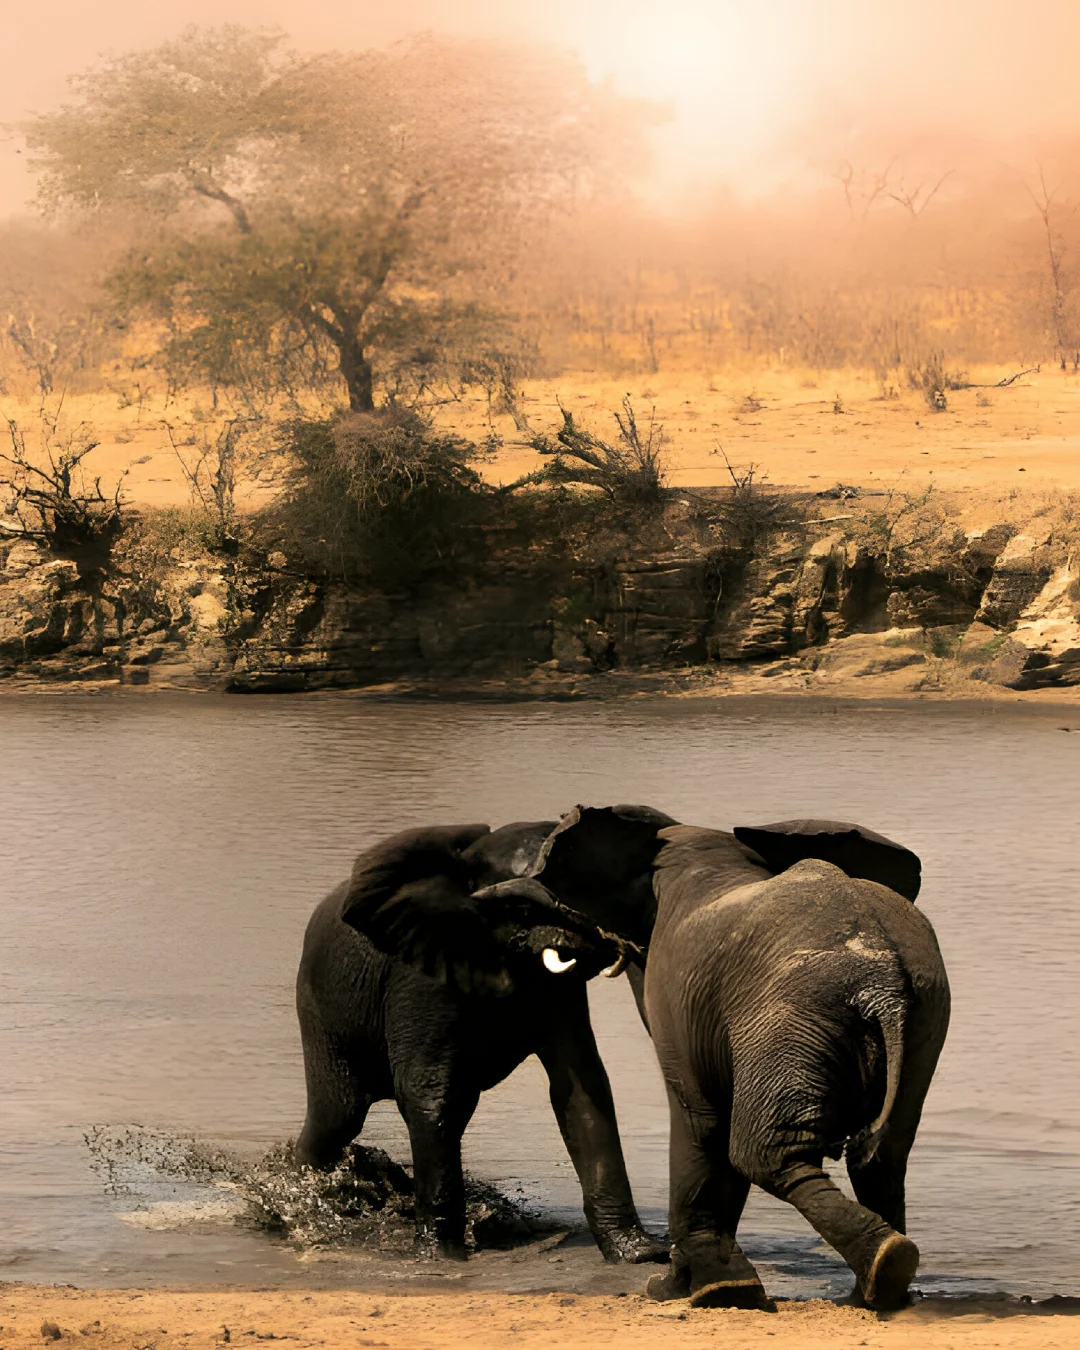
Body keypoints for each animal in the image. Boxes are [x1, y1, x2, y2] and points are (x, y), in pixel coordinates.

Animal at [294, 820, 666, 1264]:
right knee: (338, 1116)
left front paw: (639, 1254)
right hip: (318, 1008)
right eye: (521, 910)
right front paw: (441, 1257)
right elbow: (430, 1092)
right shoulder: (421, 968)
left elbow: (580, 1086)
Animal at [514, 806, 950, 1311]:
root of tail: (882, 984)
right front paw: (708, 1287)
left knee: (763, 1152)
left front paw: (699, 1291)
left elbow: (700, 1120)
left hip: (790, 1020)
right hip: (919, 1022)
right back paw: (877, 1286)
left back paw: (881, 1267)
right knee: (881, 1160)